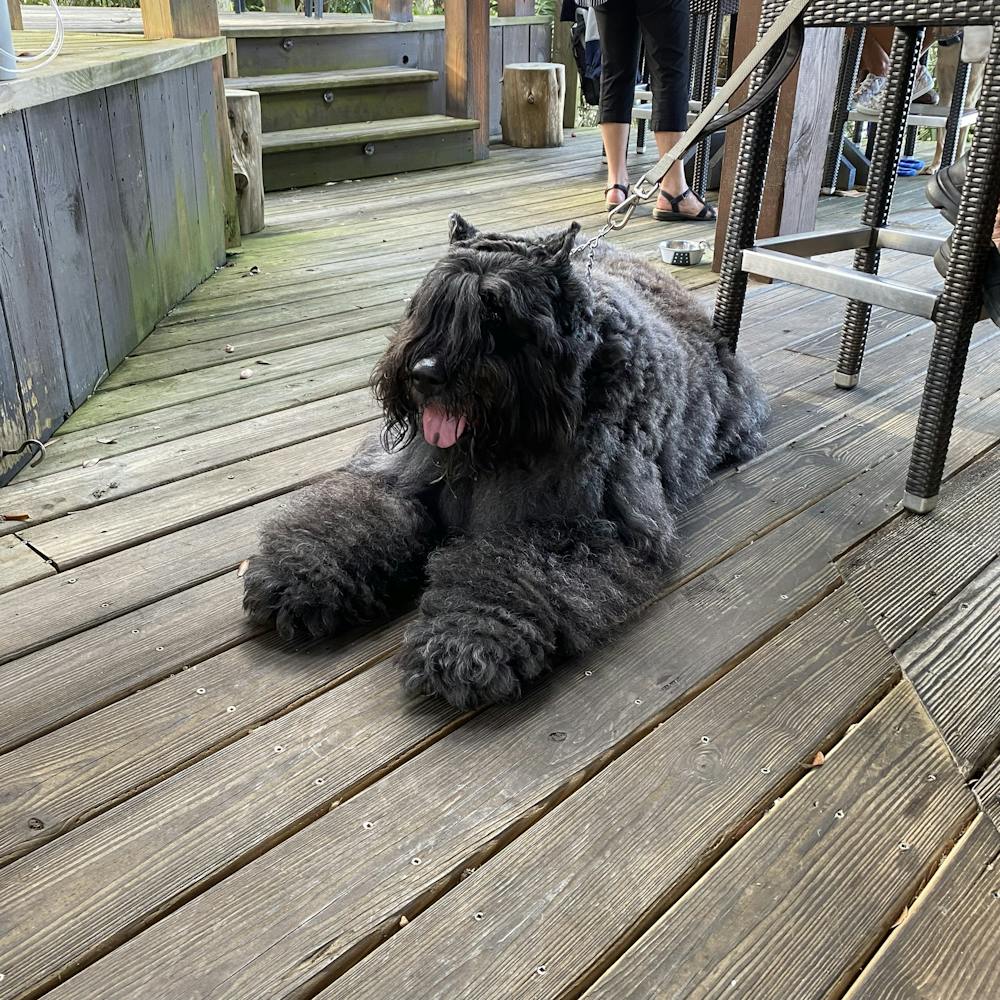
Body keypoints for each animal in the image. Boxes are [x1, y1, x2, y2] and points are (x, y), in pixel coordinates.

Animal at [244, 215, 772, 708]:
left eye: (497, 311)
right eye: (430, 302)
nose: (424, 374)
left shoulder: (580, 529)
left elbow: (506, 572)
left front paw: (466, 638)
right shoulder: (400, 481)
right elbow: (357, 518)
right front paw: (299, 573)